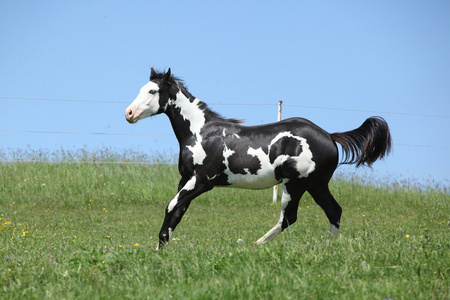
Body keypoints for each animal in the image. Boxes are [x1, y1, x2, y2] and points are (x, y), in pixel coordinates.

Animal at [125, 69, 392, 250]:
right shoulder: (186, 180)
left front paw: (160, 248)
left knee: (289, 217)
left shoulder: (201, 182)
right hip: (317, 185)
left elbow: (171, 206)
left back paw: (256, 243)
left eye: (152, 91)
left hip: (294, 185)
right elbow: (177, 212)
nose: (129, 113)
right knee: (333, 211)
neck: (201, 133)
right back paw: (329, 247)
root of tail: (329, 135)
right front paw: (162, 248)